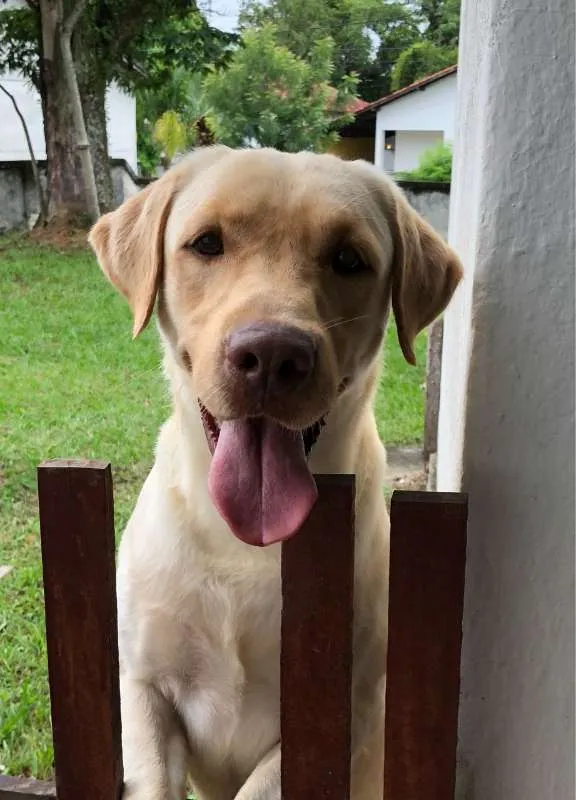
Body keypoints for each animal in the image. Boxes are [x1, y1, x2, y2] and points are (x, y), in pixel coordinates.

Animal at [89, 146, 462, 800]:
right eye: (207, 243)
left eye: (349, 259)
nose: (270, 354)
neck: (245, 546)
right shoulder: (142, 686)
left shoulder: (341, 716)